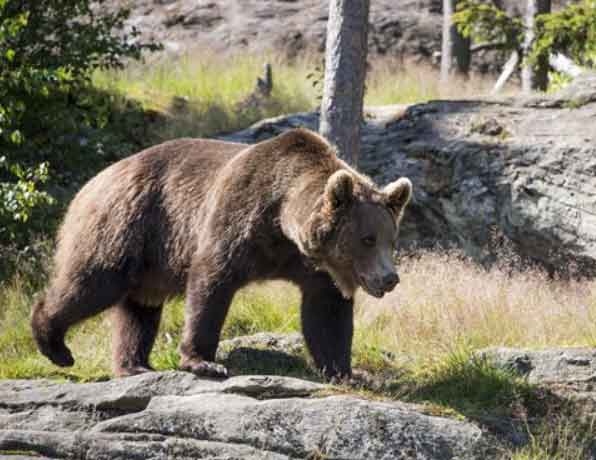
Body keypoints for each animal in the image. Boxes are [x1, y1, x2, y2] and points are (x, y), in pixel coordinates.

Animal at [30, 127, 412, 380]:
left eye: (391, 239)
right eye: (367, 239)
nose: (389, 278)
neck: (281, 222)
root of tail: (93, 181)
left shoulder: (314, 266)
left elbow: (326, 312)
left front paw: (347, 371)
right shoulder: (237, 218)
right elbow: (211, 282)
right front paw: (204, 361)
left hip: (149, 259)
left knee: (139, 309)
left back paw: (134, 364)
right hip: (127, 224)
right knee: (93, 282)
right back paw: (54, 344)